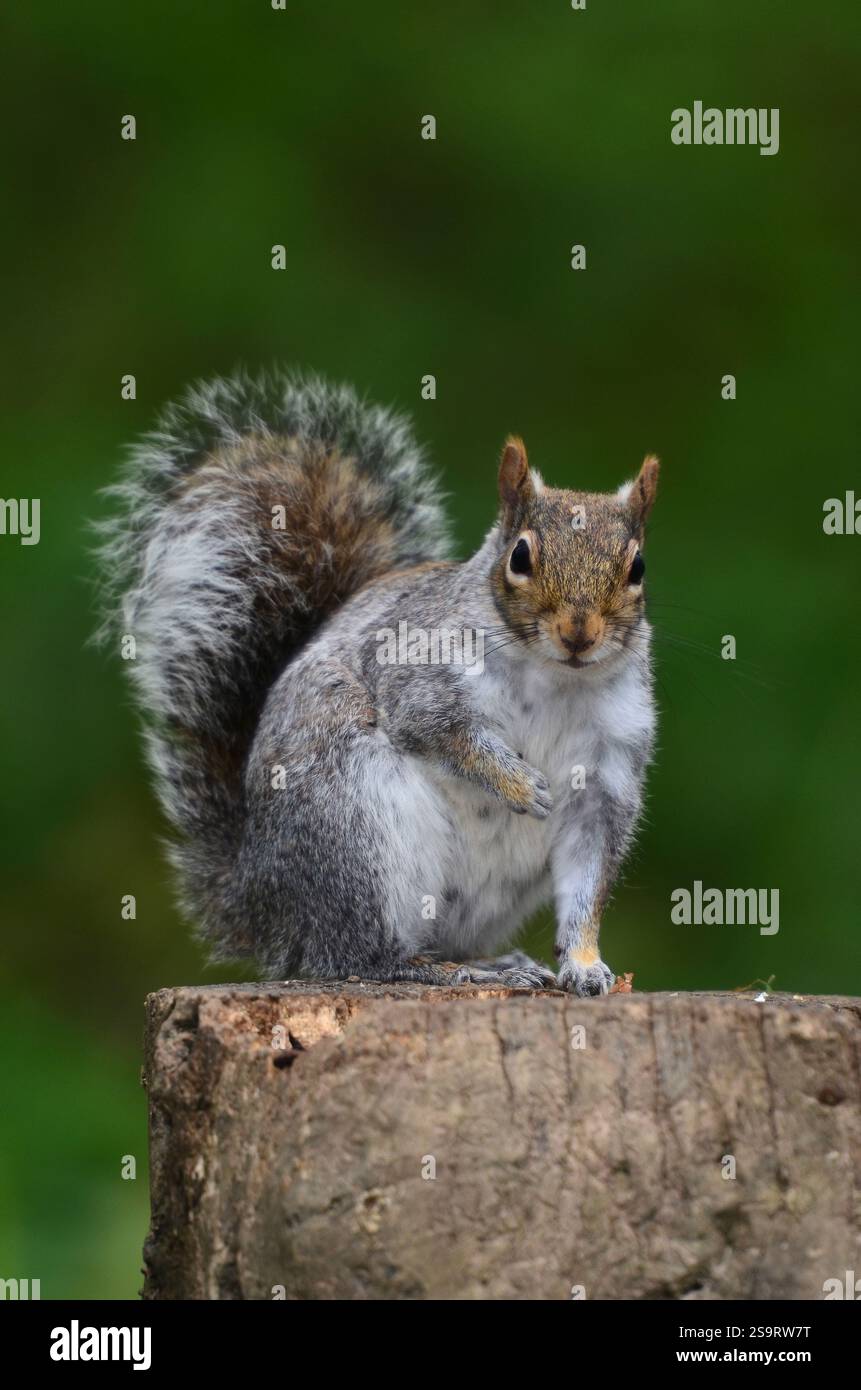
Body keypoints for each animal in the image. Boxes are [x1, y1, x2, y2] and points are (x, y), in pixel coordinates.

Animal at [97, 369, 658, 996]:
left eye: (637, 568)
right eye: (520, 557)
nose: (578, 633)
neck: (556, 678)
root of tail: (265, 904)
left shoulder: (607, 774)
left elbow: (587, 882)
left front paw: (585, 967)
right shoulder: (414, 674)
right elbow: (441, 731)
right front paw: (517, 784)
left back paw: (494, 961)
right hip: (357, 828)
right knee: (361, 955)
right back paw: (436, 969)